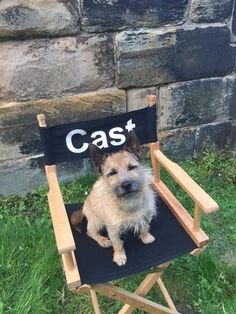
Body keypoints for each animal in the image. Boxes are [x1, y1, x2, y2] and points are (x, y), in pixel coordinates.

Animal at [71, 131, 158, 266]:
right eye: (112, 173)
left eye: (131, 167)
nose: (126, 185)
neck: (128, 201)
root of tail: (83, 207)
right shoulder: (113, 228)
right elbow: (117, 244)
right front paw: (119, 256)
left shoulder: (146, 215)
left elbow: (144, 227)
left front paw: (146, 238)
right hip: (97, 221)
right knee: (90, 231)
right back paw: (102, 240)